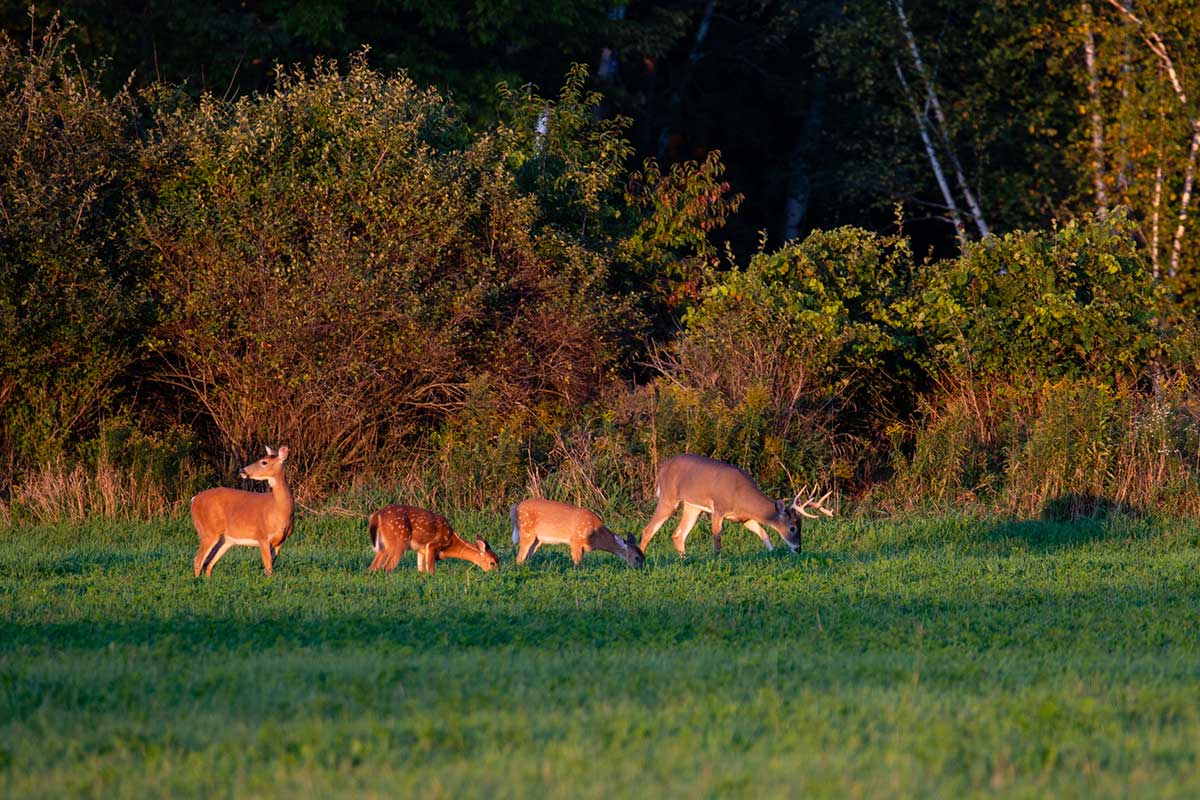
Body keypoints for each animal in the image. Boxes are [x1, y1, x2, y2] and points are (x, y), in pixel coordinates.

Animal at [193, 448, 296, 578]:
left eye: (264, 462)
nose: (242, 470)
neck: (280, 511)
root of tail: (194, 500)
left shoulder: (280, 542)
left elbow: (271, 565)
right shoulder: (262, 536)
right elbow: (268, 568)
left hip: (225, 540)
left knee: (208, 563)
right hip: (207, 530)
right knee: (198, 559)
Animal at [364, 506, 496, 575]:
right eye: (492, 563)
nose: (496, 573)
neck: (450, 542)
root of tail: (376, 515)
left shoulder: (421, 550)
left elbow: (421, 570)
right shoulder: (433, 545)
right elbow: (431, 571)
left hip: (383, 545)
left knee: (373, 567)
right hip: (400, 540)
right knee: (387, 567)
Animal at [513, 501, 648, 568]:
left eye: (643, 557)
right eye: (637, 557)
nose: (641, 569)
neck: (595, 536)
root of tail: (515, 508)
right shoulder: (575, 540)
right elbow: (578, 564)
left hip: (538, 540)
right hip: (526, 532)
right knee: (519, 558)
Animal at [638, 453, 835, 561]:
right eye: (792, 527)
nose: (798, 549)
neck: (741, 495)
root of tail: (662, 468)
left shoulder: (744, 518)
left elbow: (763, 532)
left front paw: (772, 553)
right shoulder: (718, 508)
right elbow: (717, 538)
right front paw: (717, 559)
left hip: (692, 506)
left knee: (678, 534)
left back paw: (684, 559)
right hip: (668, 498)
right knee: (648, 530)